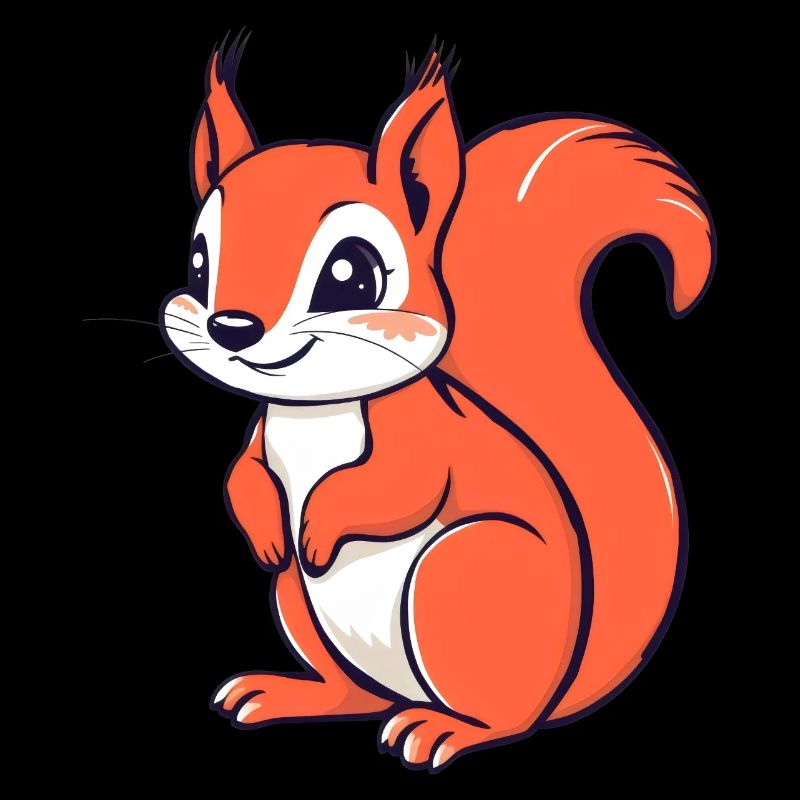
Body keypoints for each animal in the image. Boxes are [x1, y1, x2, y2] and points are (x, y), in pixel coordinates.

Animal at [160, 35, 714, 772]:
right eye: (198, 263)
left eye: (350, 272)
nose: (232, 328)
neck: (315, 412)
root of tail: (559, 691)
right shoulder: (261, 436)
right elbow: (241, 476)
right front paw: (271, 532)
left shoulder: (425, 437)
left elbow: (400, 487)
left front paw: (317, 529)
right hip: (298, 604)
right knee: (353, 690)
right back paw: (289, 693)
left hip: (463, 573)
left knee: (500, 716)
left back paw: (445, 730)